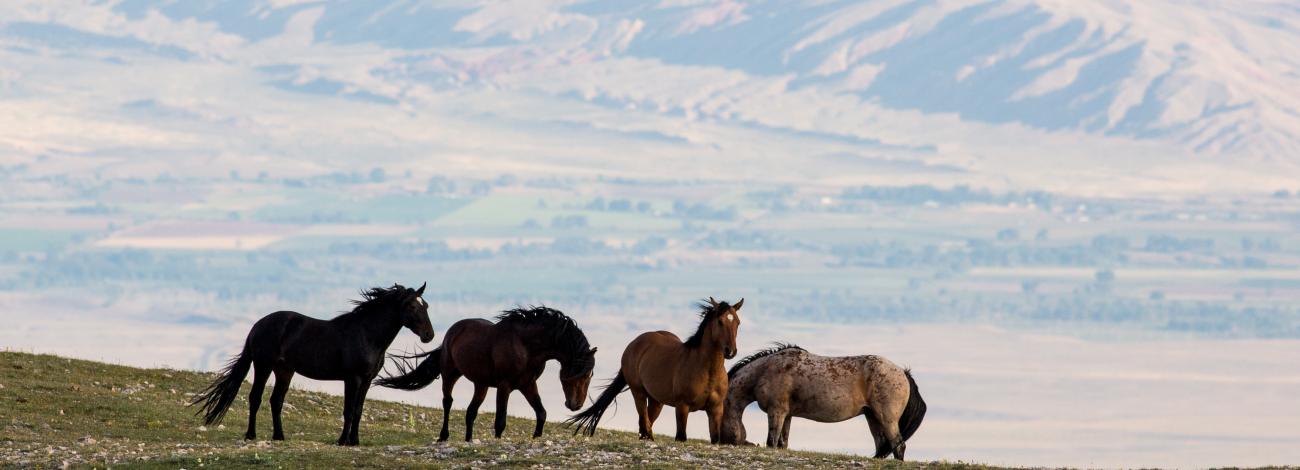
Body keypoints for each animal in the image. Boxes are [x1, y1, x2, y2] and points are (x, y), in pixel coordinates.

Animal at [191, 283, 435, 446]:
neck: (366, 335)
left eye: (426, 305)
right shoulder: (352, 378)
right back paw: (251, 435)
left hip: (284, 370)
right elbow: (348, 410)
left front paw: (354, 441)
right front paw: (342, 441)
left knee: (276, 401)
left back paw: (279, 436)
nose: (429, 335)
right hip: (263, 366)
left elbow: (358, 410)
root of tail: (258, 325)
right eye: (412, 306)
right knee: (256, 398)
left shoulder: (366, 380)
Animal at [375, 306, 597, 442]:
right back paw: (443, 436)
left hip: (480, 384)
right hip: (450, 374)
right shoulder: (504, 386)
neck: (526, 345)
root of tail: (452, 331)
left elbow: (541, 413)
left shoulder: (527, 384)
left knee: (471, 412)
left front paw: (536, 438)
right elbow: (500, 422)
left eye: (590, 375)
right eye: (582, 373)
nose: (575, 405)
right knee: (448, 402)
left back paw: (468, 440)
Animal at [568, 297, 742, 443]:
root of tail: (634, 343)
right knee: (644, 419)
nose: (731, 351)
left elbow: (715, 438)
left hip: (657, 401)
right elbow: (681, 436)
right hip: (638, 392)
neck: (707, 371)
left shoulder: (716, 410)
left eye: (738, 322)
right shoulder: (682, 407)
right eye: (720, 321)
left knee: (647, 421)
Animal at [718, 344, 926, 460]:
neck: (765, 370)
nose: (720, 442)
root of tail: (903, 373)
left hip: (887, 418)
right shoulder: (787, 415)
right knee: (882, 446)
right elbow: (782, 443)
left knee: (898, 446)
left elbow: (772, 442)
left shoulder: (775, 411)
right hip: (872, 417)